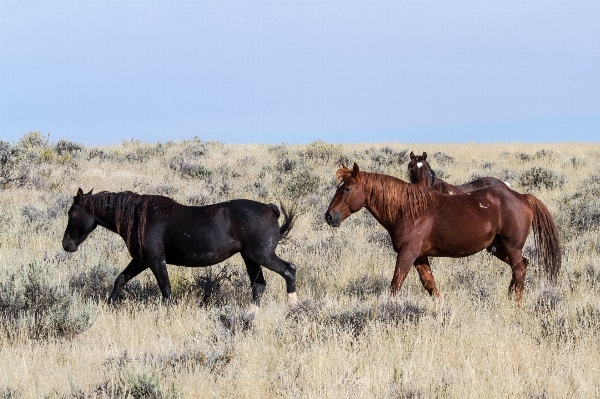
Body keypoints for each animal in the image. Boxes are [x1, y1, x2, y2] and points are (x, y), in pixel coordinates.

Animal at [62, 189, 298, 308]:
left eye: (71, 213)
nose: (67, 245)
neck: (138, 216)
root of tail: (269, 208)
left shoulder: (155, 261)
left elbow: (166, 290)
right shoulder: (141, 261)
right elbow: (120, 279)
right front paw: (109, 305)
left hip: (262, 255)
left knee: (289, 270)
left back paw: (293, 306)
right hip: (250, 258)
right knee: (258, 285)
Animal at [326, 162, 560, 304]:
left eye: (346, 189)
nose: (329, 216)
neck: (407, 209)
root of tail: (522, 197)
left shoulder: (407, 254)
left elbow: (395, 284)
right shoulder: (419, 256)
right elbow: (430, 285)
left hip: (512, 246)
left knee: (519, 270)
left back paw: (516, 304)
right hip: (498, 248)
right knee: (522, 266)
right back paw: (510, 297)